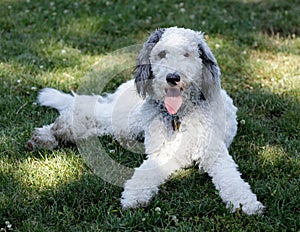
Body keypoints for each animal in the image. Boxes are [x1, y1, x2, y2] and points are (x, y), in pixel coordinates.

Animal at [27, 26, 264, 215]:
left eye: (187, 54)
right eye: (162, 54)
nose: (172, 77)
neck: (177, 115)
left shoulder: (214, 154)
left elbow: (232, 180)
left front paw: (245, 204)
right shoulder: (163, 153)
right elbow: (145, 173)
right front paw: (134, 197)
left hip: (125, 127)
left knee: (98, 126)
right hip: (129, 118)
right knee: (91, 112)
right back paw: (52, 132)